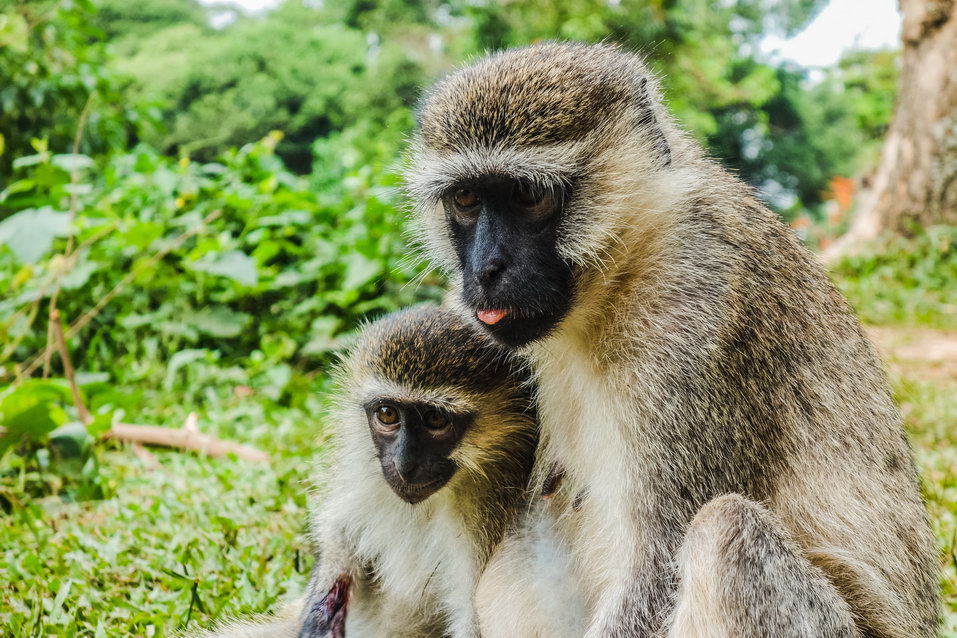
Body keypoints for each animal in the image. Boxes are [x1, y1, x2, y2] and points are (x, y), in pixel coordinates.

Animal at [408, 41, 936, 638]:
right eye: (466, 199)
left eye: (527, 195)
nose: (486, 270)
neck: (624, 264)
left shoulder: (692, 315)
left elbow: (659, 569)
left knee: (728, 532)